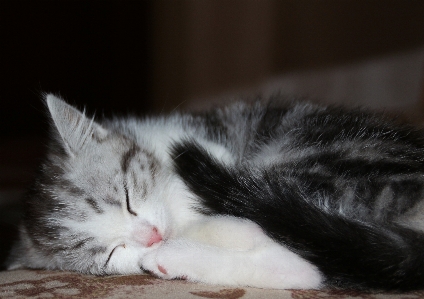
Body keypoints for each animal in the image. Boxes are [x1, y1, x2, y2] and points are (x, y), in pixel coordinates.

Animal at [6, 94, 424, 290]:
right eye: (111, 254)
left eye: (126, 197)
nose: (151, 237)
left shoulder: (202, 148)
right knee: (304, 269)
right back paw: (177, 256)